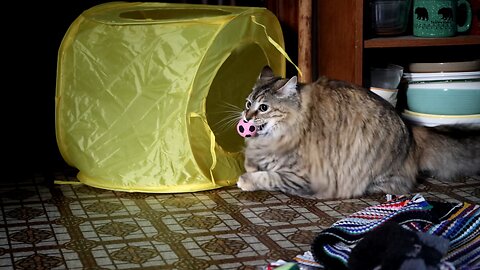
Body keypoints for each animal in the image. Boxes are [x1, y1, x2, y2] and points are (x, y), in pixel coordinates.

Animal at [237, 66, 480, 198]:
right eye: (248, 103)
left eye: (264, 108)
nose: (246, 117)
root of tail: (411, 129)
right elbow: (254, 164)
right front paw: (251, 166)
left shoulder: (302, 178)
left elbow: (270, 177)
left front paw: (245, 180)